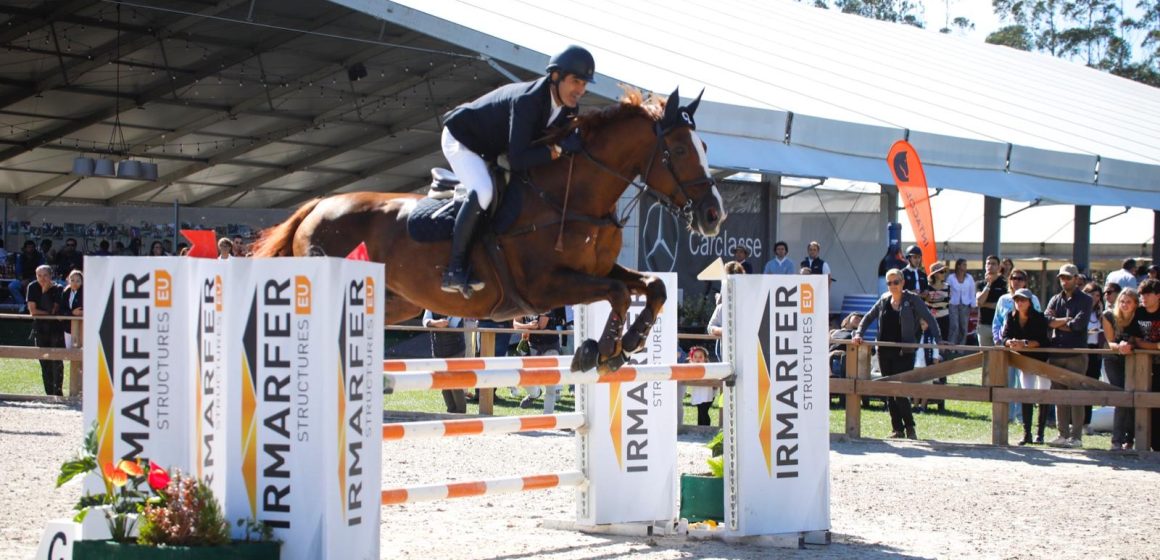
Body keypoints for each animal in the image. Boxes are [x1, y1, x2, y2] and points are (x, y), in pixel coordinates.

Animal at [254, 88, 723, 373]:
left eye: (705, 147)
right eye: (679, 150)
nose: (714, 215)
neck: (571, 197)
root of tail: (317, 205)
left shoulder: (596, 270)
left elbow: (651, 287)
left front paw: (629, 343)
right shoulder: (544, 287)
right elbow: (620, 293)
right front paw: (603, 351)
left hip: (395, 303)